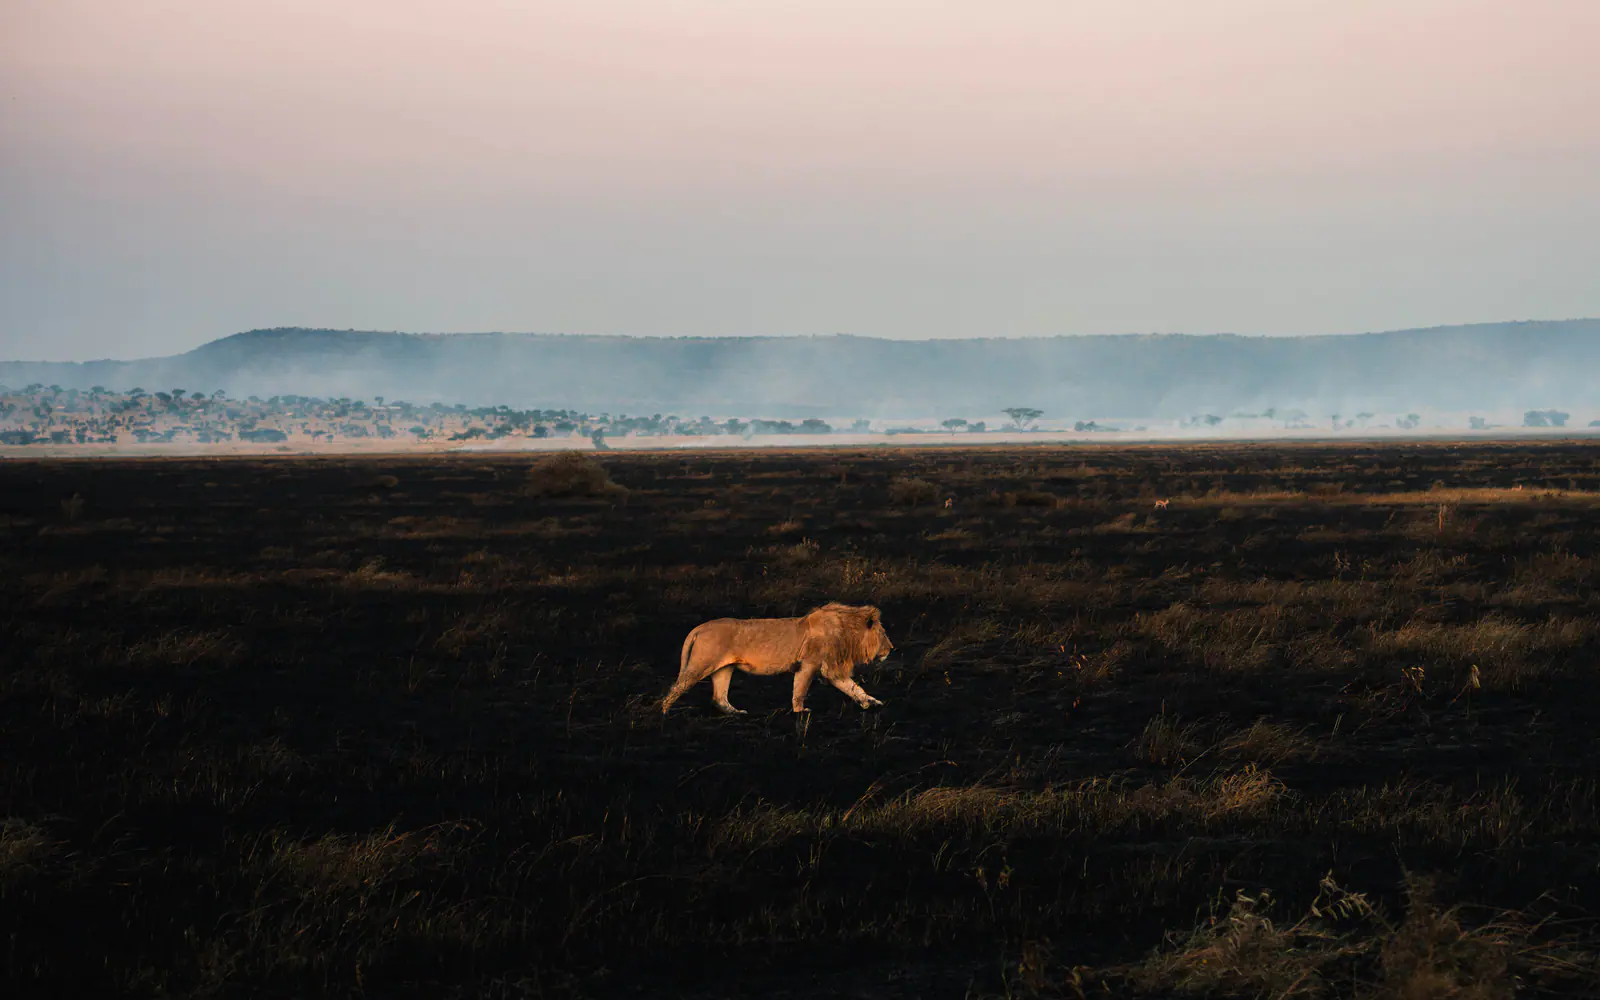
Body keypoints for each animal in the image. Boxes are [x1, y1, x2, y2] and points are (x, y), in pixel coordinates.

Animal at [661, 602, 893, 715]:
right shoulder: (809, 664)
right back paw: (664, 712)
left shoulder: (831, 669)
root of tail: (699, 628)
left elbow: (854, 688)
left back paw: (737, 713)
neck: (847, 632)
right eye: (883, 634)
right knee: (676, 688)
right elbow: (800, 690)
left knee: (719, 697)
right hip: (701, 664)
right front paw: (800, 711)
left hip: (724, 668)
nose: (892, 649)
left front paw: (871, 702)